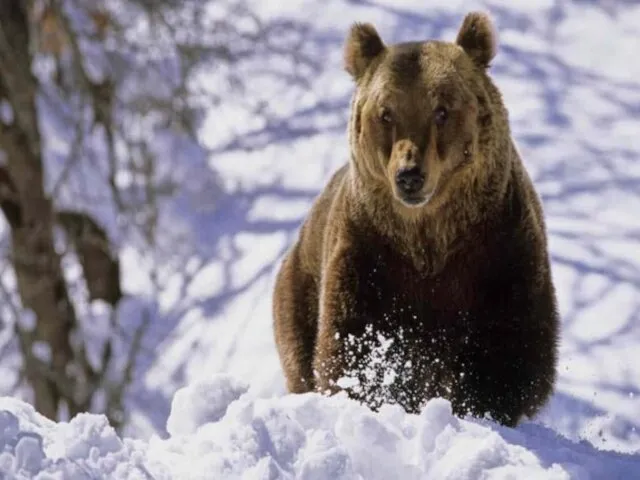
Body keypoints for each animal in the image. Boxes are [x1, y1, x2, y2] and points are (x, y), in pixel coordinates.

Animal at [272, 11, 560, 428]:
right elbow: (354, 341)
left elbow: (510, 345)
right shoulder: (371, 253)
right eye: (385, 113)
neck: (429, 234)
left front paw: (482, 406)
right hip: (301, 286)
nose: (409, 175)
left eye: (441, 110)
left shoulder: (498, 249)